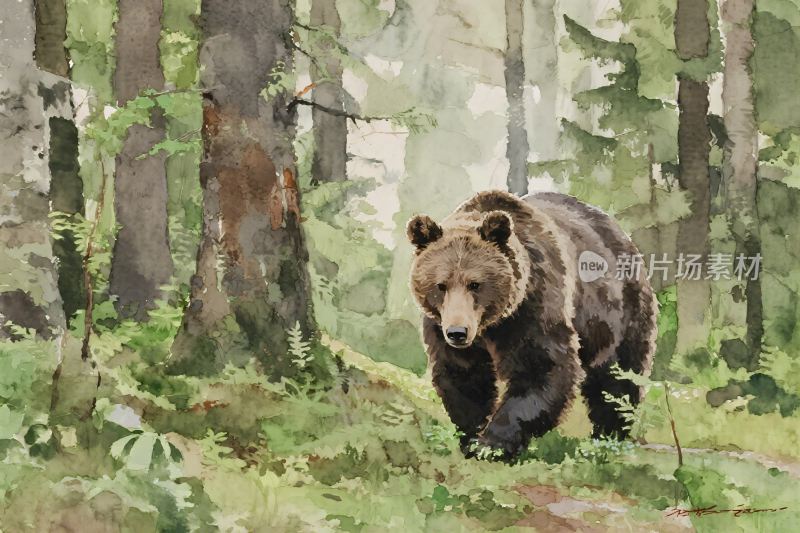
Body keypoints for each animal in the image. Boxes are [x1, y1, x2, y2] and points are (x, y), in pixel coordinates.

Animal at [407, 190, 657, 459]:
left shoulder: (534, 307)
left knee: (618, 379)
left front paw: (493, 443)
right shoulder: (440, 325)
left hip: (619, 313)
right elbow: (464, 376)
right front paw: (471, 437)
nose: (458, 333)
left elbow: (541, 369)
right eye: (441, 285)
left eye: (475, 284)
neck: (492, 324)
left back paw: (608, 438)